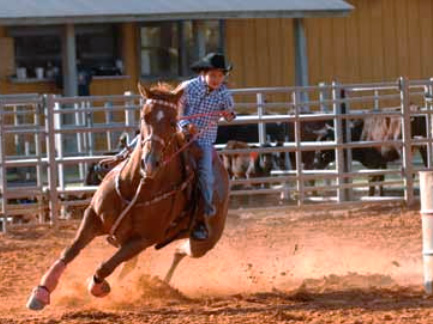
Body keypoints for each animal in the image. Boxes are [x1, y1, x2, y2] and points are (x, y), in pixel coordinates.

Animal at [26, 83, 230, 312]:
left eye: (172, 121)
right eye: (144, 116)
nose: (150, 163)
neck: (137, 188)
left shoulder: (143, 239)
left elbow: (106, 265)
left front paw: (98, 287)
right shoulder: (92, 217)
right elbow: (70, 251)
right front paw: (41, 292)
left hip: (203, 243)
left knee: (179, 252)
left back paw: (162, 284)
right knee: (144, 261)